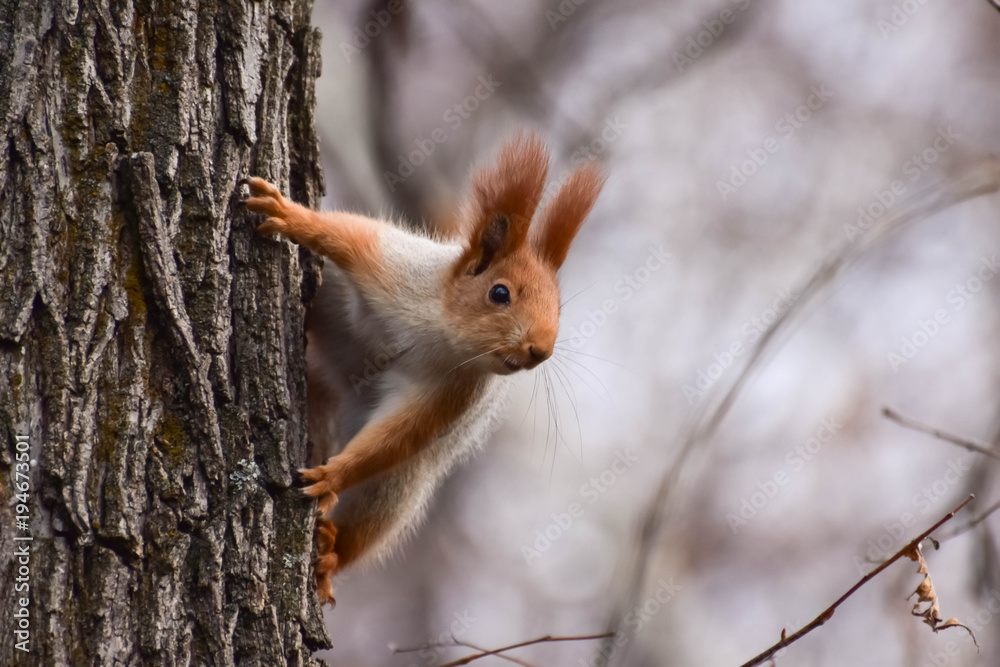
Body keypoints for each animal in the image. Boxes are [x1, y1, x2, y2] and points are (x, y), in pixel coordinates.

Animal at [244, 133, 600, 604]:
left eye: (558, 309)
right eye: (499, 293)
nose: (540, 350)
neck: (441, 333)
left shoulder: (457, 389)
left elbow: (404, 433)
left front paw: (332, 477)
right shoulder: (394, 268)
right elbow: (345, 234)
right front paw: (289, 214)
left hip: (398, 487)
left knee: (373, 518)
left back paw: (330, 553)